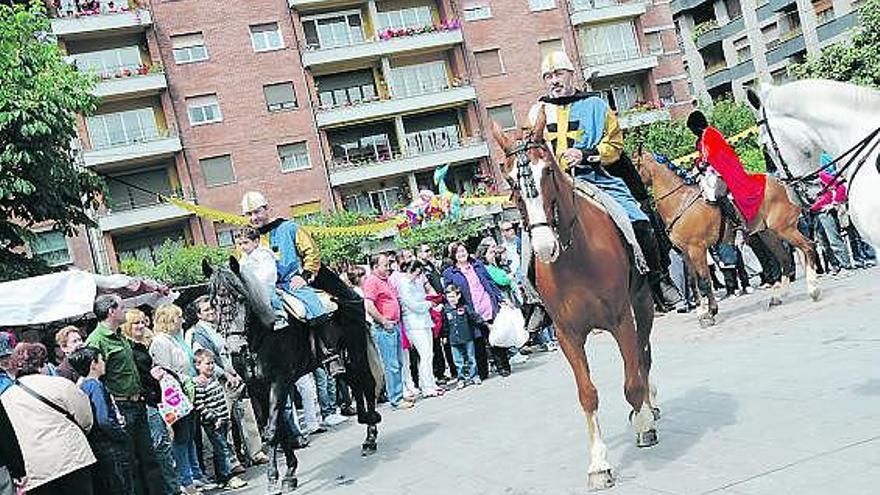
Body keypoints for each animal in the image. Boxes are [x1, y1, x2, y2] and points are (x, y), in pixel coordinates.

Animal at [206, 258, 384, 494]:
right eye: (214, 304)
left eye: (242, 299)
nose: (235, 348)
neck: (264, 334)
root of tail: (351, 296)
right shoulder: (259, 390)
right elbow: (279, 430)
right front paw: (289, 472)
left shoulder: (279, 383)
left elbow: (273, 432)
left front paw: (274, 480)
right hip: (341, 365)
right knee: (356, 384)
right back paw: (365, 419)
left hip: (356, 353)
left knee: (367, 383)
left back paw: (370, 438)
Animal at [492, 109, 656, 492]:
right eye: (510, 180)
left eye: (548, 170)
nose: (542, 246)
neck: (576, 258)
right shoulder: (568, 335)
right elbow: (587, 394)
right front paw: (599, 465)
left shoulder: (621, 321)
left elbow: (631, 382)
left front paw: (642, 422)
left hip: (643, 306)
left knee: (643, 359)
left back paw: (650, 411)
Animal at [636, 151, 820, 328]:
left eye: (634, 166)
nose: (640, 204)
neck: (680, 201)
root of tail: (783, 183)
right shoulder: (686, 253)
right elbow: (693, 283)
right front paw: (701, 313)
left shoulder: (697, 250)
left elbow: (704, 281)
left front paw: (710, 312)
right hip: (768, 233)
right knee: (785, 259)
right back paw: (778, 297)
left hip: (784, 229)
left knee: (808, 247)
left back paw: (813, 289)